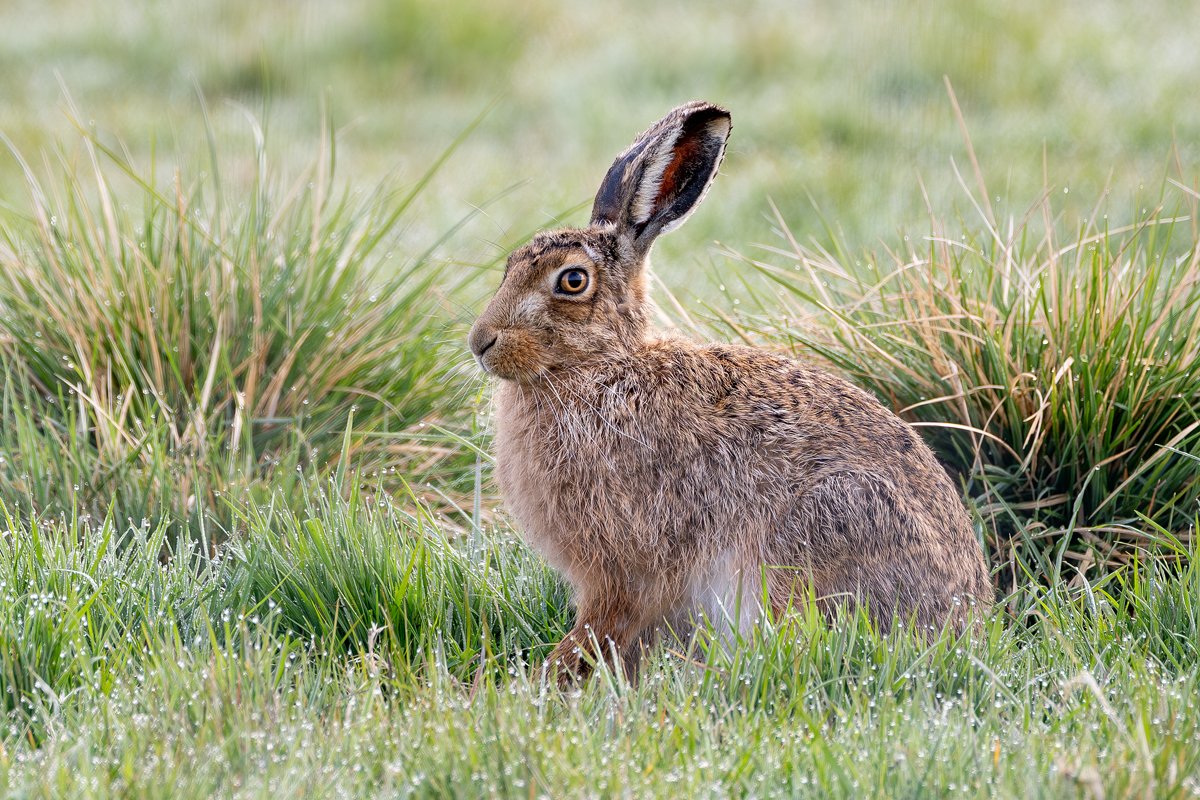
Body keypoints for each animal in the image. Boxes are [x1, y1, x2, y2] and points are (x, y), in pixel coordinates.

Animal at [468, 100, 992, 681]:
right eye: (510, 266)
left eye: (573, 281)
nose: (480, 342)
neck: (602, 367)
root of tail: (967, 623)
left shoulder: (624, 567)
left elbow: (601, 627)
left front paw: (547, 678)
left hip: (827, 521)